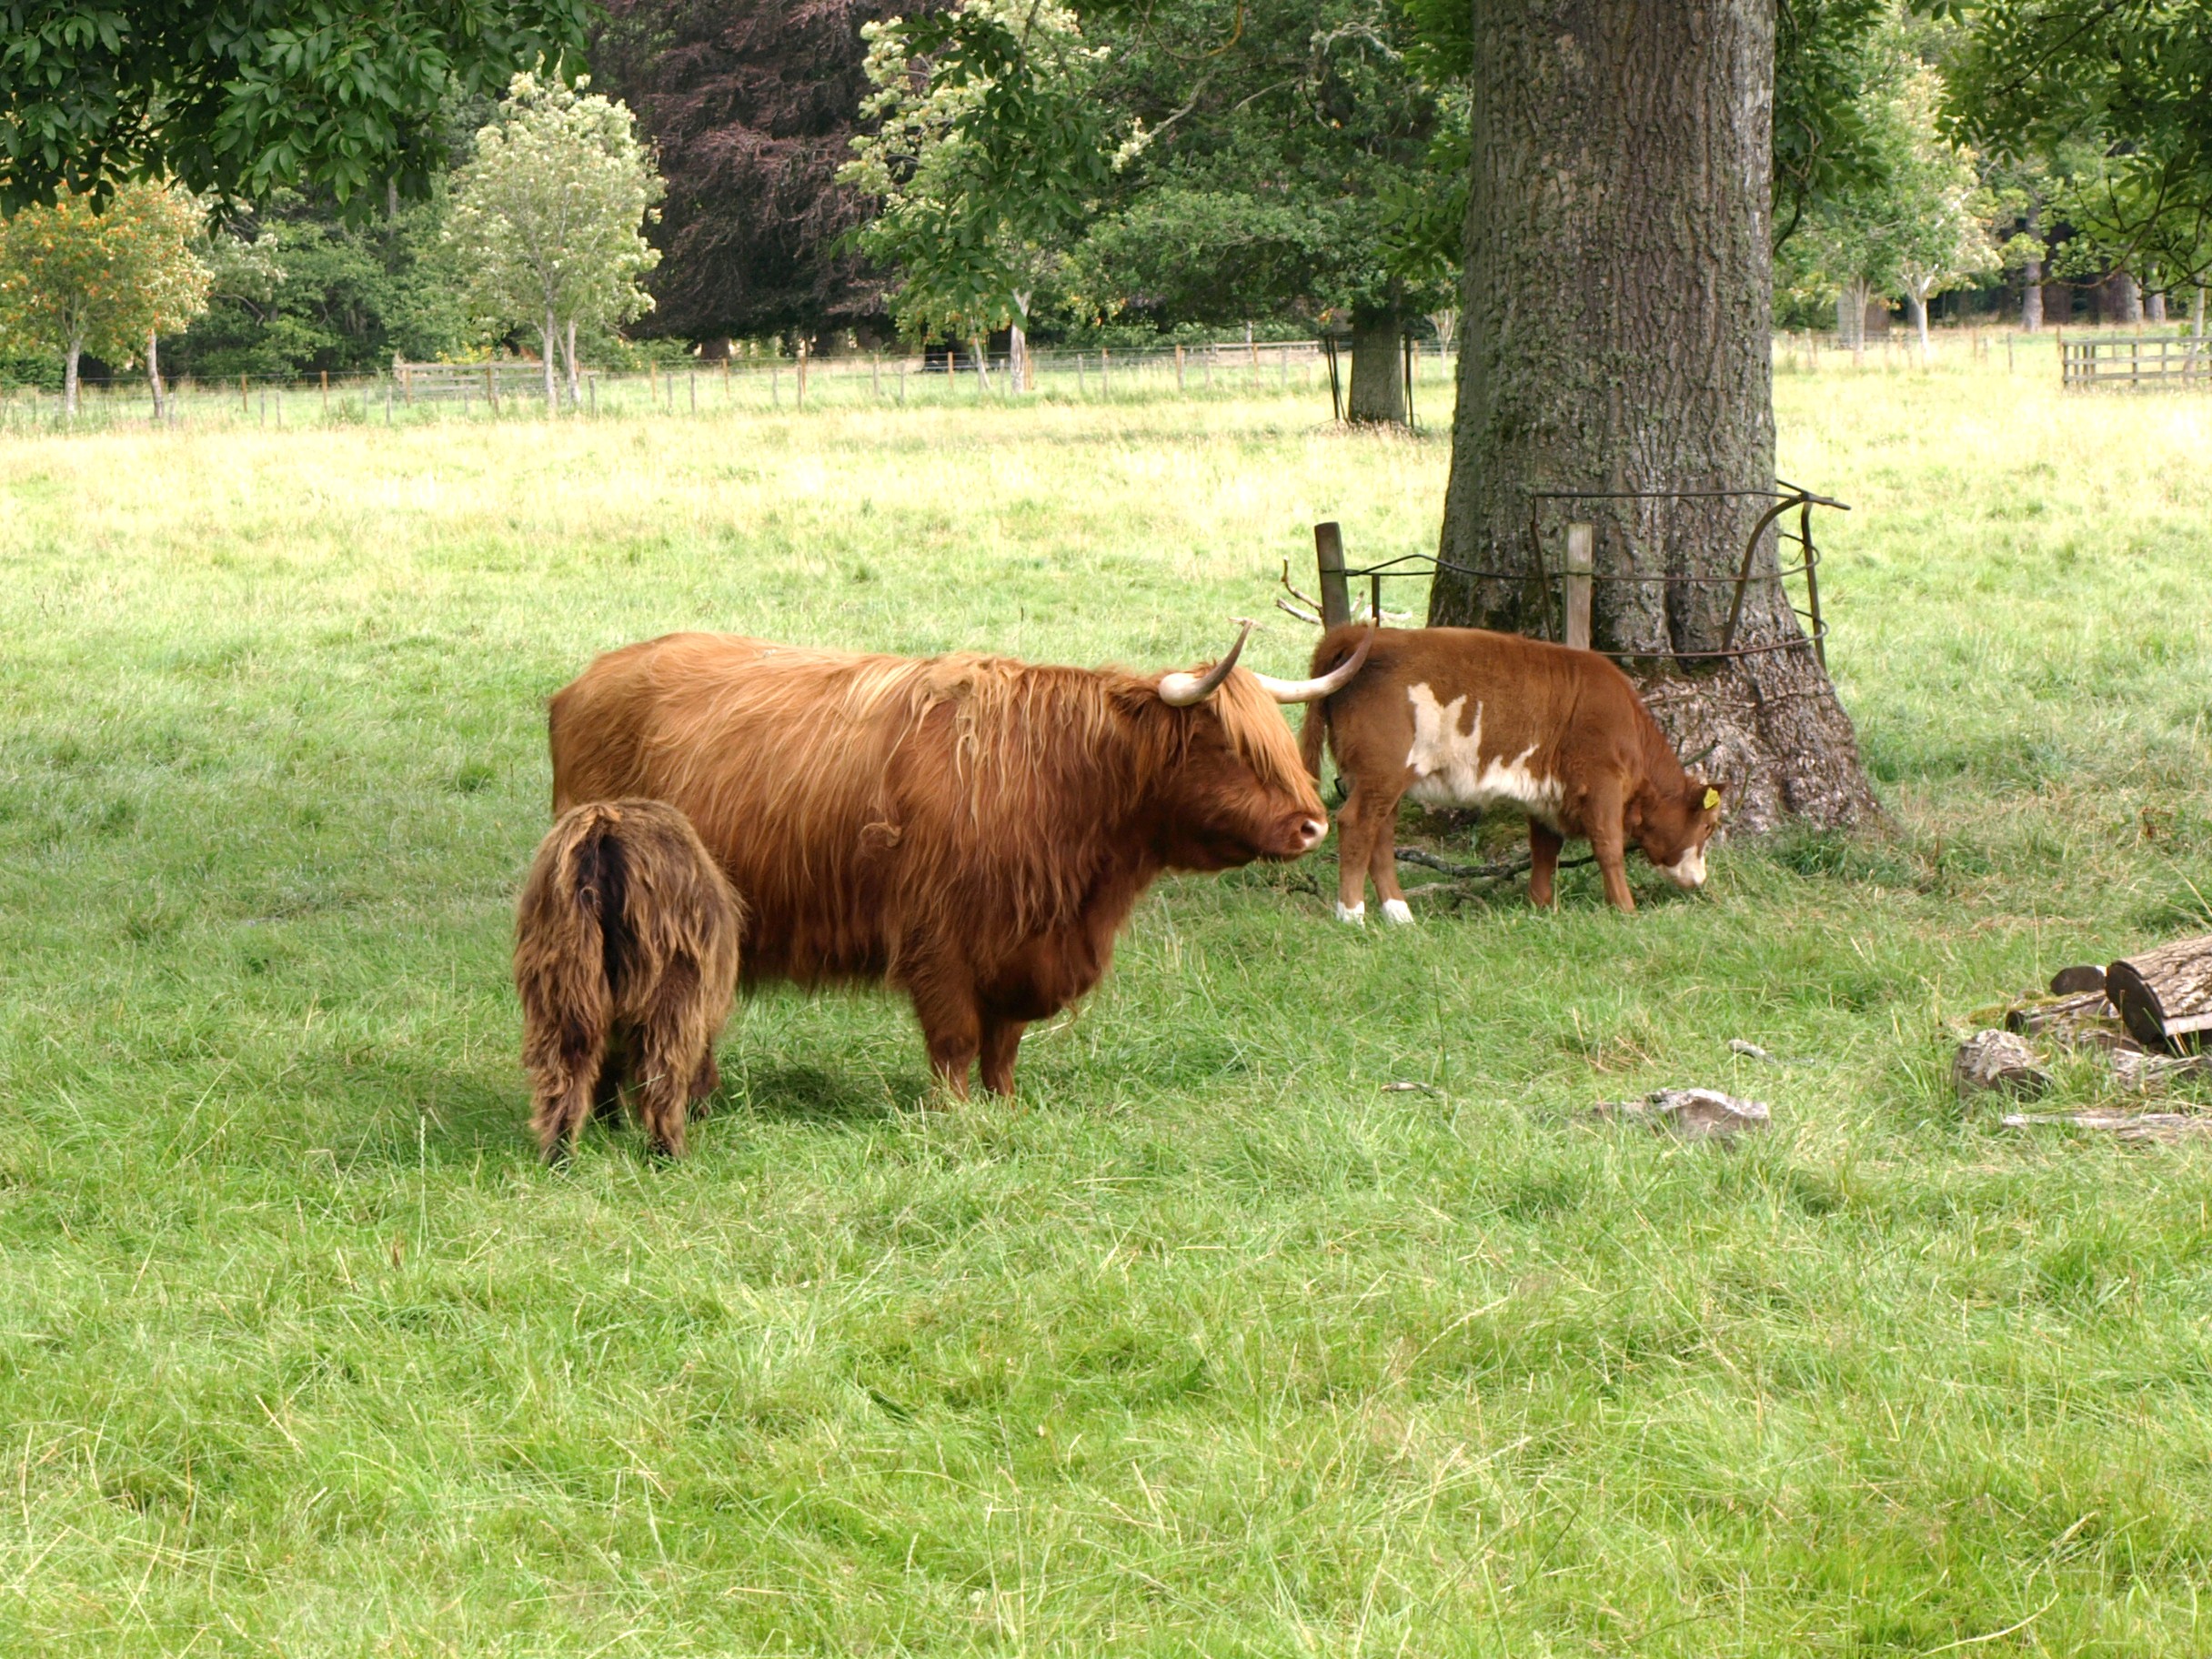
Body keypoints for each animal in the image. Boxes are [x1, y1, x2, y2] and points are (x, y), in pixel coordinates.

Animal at [513, 800, 748, 1159]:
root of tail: (601, 830)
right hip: (669, 983)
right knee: (661, 1073)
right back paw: (668, 1150)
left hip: (562, 978)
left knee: (563, 1069)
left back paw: (560, 1152)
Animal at [548, 618, 1362, 1092]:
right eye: (1225, 744)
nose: (1312, 827)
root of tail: (586, 680)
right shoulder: (937, 940)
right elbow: (956, 1039)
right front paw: (957, 1113)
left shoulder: (1023, 949)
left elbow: (1004, 1044)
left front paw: (1004, 1107)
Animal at [1292, 628, 1724, 924]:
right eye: (1707, 827)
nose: (1700, 879)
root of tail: (1368, 634)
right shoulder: (1601, 780)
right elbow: (1609, 846)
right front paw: (1625, 908)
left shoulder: (1549, 794)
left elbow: (1544, 850)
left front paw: (1541, 907)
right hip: (1381, 772)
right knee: (1356, 825)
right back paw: (1352, 915)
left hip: (1385, 779)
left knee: (1380, 835)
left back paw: (1400, 915)